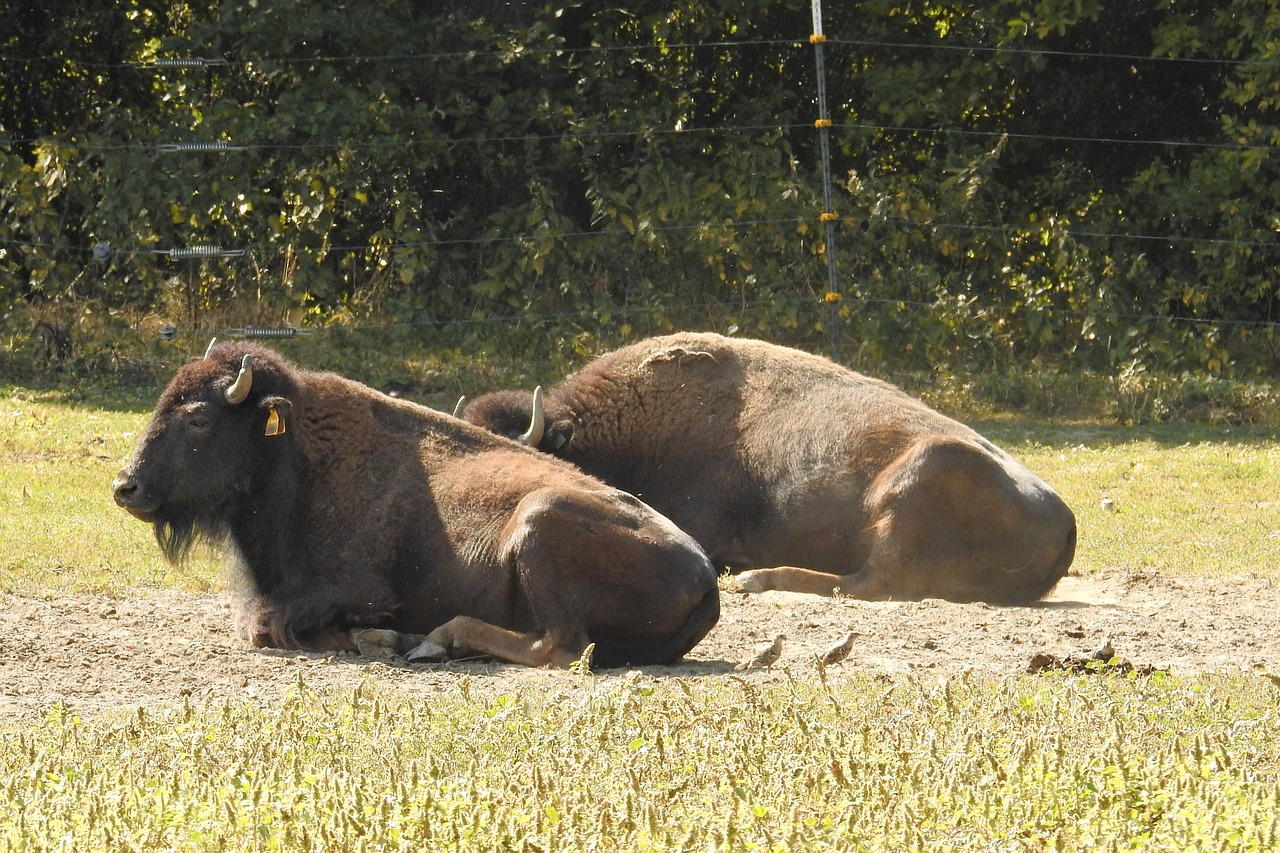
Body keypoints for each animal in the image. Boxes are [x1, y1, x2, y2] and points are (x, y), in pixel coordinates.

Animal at [110, 343, 721, 666]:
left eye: (199, 418)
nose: (125, 487)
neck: (296, 454)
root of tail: (705, 575)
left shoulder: (354, 589)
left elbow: (269, 624)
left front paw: (370, 636)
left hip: (539, 519)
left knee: (561, 645)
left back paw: (431, 640)